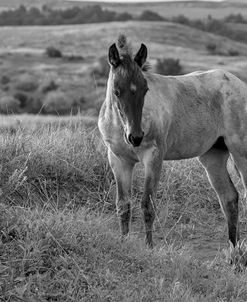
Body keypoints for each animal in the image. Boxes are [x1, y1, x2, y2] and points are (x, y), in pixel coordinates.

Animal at [98, 34, 247, 248]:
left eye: (145, 89)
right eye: (116, 91)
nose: (135, 137)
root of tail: (239, 84)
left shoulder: (153, 157)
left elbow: (147, 205)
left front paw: (149, 248)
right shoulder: (119, 160)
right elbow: (123, 205)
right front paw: (124, 243)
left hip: (241, 152)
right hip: (213, 157)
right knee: (229, 198)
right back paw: (233, 251)